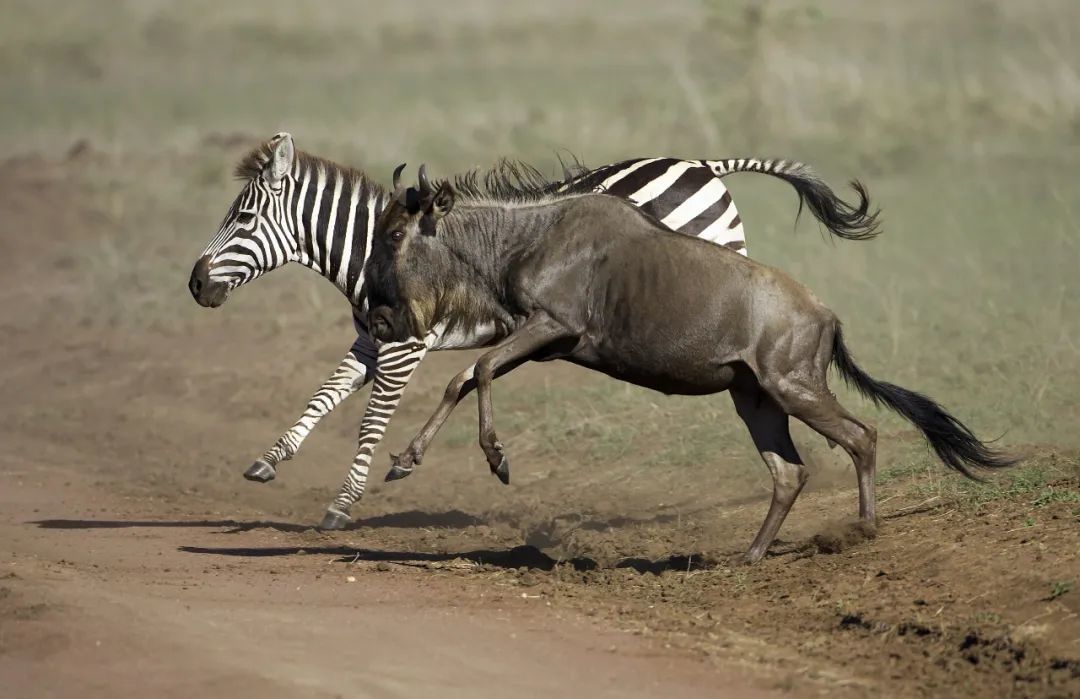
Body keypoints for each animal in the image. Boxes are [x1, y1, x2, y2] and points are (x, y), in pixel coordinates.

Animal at [187, 132, 876, 531]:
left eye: (242, 218)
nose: (195, 284)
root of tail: (699, 161)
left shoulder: (405, 343)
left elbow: (370, 419)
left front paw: (342, 503)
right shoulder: (372, 338)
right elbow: (325, 394)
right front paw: (270, 460)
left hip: (705, 262)